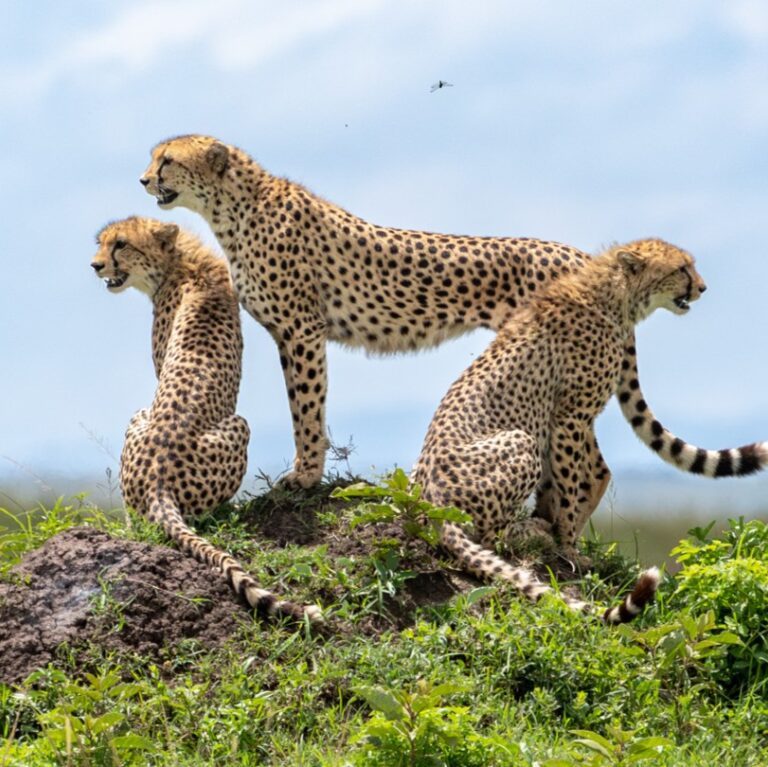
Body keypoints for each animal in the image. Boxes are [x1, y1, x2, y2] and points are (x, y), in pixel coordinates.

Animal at [91, 216, 321, 623]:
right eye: (102, 243)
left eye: (120, 244)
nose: (95, 265)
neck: (184, 262)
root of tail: (157, 482)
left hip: (225, 423)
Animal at [138, 134, 721, 491]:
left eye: (167, 160)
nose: (143, 180)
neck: (233, 207)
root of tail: (579, 255)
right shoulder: (293, 334)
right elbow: (309, 408)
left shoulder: (303, 331)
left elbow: (306, 409)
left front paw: (304, 477)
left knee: (593, 466)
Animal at [412, 238, 768, 622]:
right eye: (681, 268)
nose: (702, 288)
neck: (614, 296)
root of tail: (432, 501)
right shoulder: (571, 416)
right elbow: (569, 485)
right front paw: (569, 547)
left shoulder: (562, 419)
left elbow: (561, 483)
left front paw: (560, 531)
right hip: (519, 442)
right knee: (490, 537)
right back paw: (528, 534)